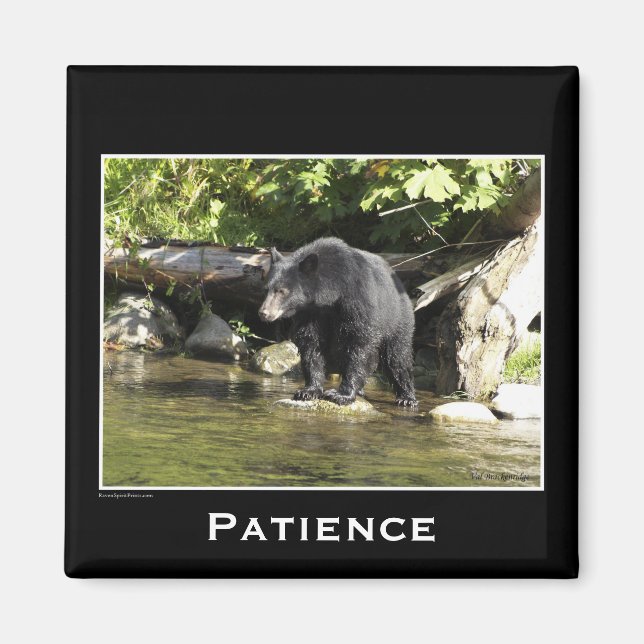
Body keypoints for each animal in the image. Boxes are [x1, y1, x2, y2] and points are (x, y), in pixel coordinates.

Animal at [258, 237, 417, 408]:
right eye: (266, 289)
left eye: (282, 291)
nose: (264, 313)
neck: (332, 293)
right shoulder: (311, 313)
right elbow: (310, 344)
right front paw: (308, 391)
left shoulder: (358, 301)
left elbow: (359, 344)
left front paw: (342, 395)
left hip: (397, 318)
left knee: (397, 356)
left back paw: (407, 397)